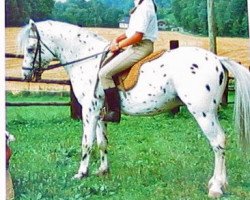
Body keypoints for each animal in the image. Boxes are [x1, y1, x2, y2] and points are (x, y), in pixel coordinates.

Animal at [18, 19, 250, 198]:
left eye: (30, 49)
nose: (25, 75)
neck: (87, 60)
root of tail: (217, 59)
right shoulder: (100, 113)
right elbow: (102, 143)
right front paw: (103, 171)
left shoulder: (89, 111)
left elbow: (87, 143)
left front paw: (81, 174)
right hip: (209, 112)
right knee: (222, 141)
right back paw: (220, 183)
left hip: (203, 112)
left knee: (217, 142)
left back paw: (216, 188)